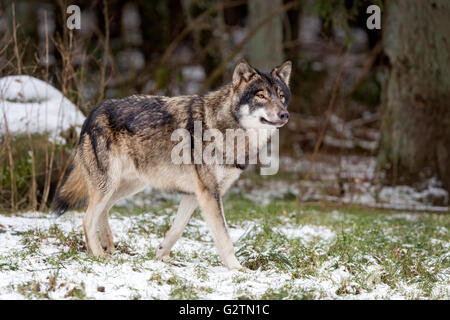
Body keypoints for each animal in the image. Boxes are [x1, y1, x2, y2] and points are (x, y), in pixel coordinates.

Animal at [51, 60, 292, 270]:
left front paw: (161, 255)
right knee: (87, 219)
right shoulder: (209, 193)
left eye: (281, 96)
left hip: (130, 186)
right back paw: (99, 255)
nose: (285, 114)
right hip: (108, 186)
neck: (226, 127)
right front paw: (237, 269)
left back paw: (108, 247)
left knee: (103, 211)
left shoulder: (195, 194)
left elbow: (177, 229)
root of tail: (91, 113)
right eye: (261, 95)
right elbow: (224, 237)